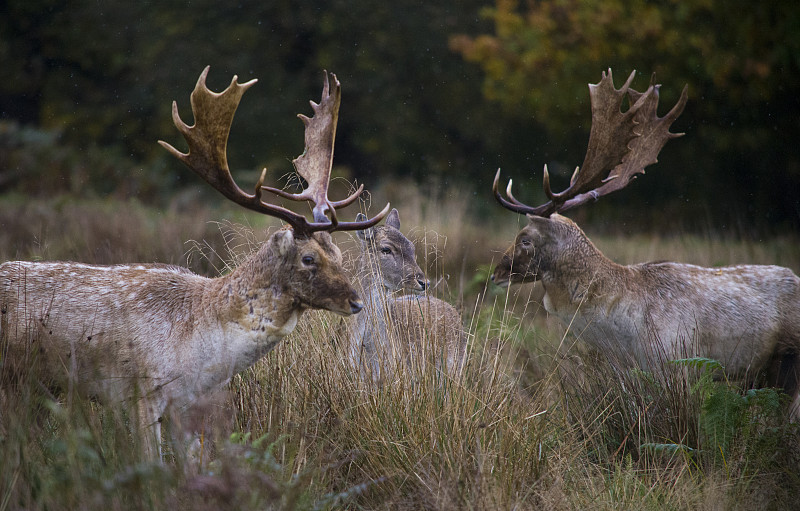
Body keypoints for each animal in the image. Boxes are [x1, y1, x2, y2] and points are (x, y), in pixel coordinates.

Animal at [0, 67, 388, 456]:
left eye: (339, 254)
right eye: (308, 258)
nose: (356, 302)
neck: (199, 348)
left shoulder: (185, 404)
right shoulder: (141, 389)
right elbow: (151, 462)